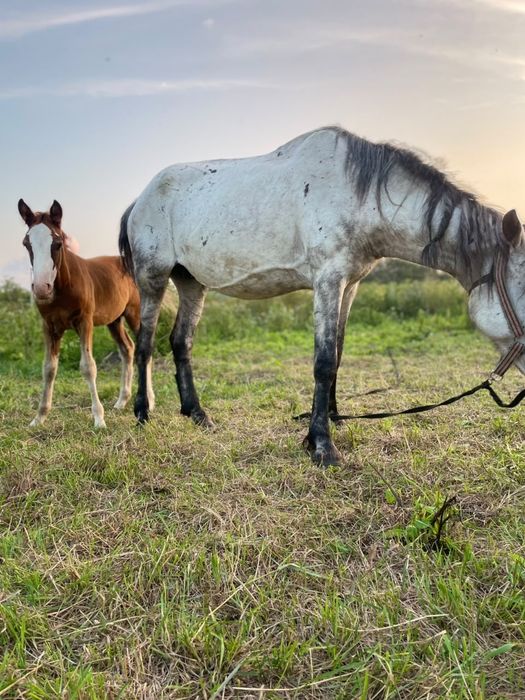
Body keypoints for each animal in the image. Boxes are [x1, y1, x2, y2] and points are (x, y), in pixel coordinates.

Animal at [18, 199, 154, 428]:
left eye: (57, 243)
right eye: (26, 244)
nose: (41, 289)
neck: (63, 287)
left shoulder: (85, 322)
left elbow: (88, 367)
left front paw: (99, 419)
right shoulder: (49, 326)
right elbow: (48, 368)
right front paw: (39, 417)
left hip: (135, 314)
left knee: (145, 349)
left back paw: (150, 402)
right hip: (114, 321)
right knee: (128, 349)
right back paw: (121, 401)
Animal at [118, 126, 524, 465]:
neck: (358, 197)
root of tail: (139, 199)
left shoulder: (350, 285)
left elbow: (338, 355)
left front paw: (333, 418)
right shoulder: (328, 281)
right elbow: (323, 361)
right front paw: (321, 445)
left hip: (191, 283)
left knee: (181, 342)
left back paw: (198, 414)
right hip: (153, 279)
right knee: (146, 343)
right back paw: (142, 413)